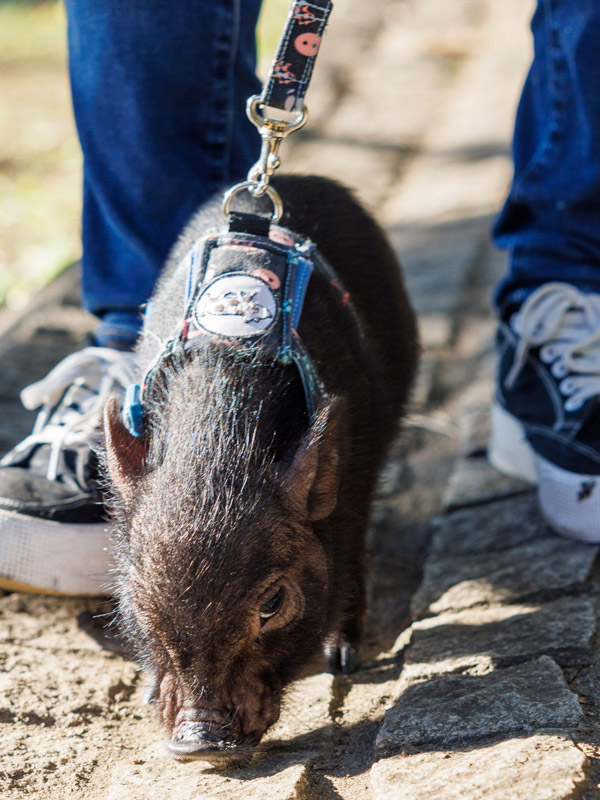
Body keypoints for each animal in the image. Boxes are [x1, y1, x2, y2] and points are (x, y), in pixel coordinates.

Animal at [103, 174, 419, 767]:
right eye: (136, 602)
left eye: (273, 602)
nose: (198, 743)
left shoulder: (356, 467)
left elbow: (348, 553)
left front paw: (344, 660)